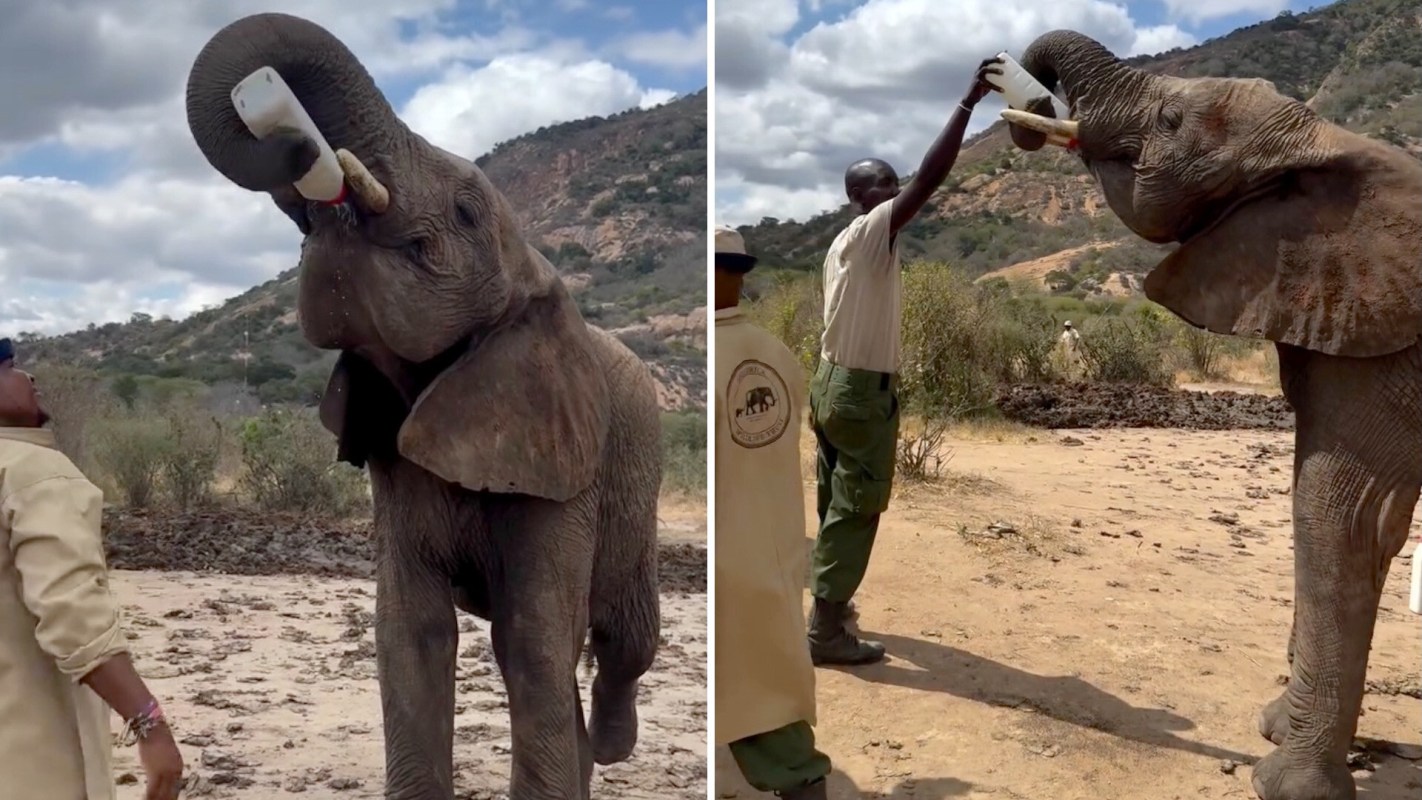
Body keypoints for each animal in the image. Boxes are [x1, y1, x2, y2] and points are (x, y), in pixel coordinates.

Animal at [184, 13, 662, 799]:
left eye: (466, 212)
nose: (297, 144)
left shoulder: (564, 467)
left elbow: (532, 640)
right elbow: (411, 635)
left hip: (633, 480)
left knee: (624, 637)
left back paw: (615, 743)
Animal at [1000, 30, 1422, 800]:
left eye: (1170, 121)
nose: (1029, 103)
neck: (1326, 139)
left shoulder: (1395, 344)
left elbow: (1342, 512)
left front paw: (1286, 784)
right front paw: (1274, 729)